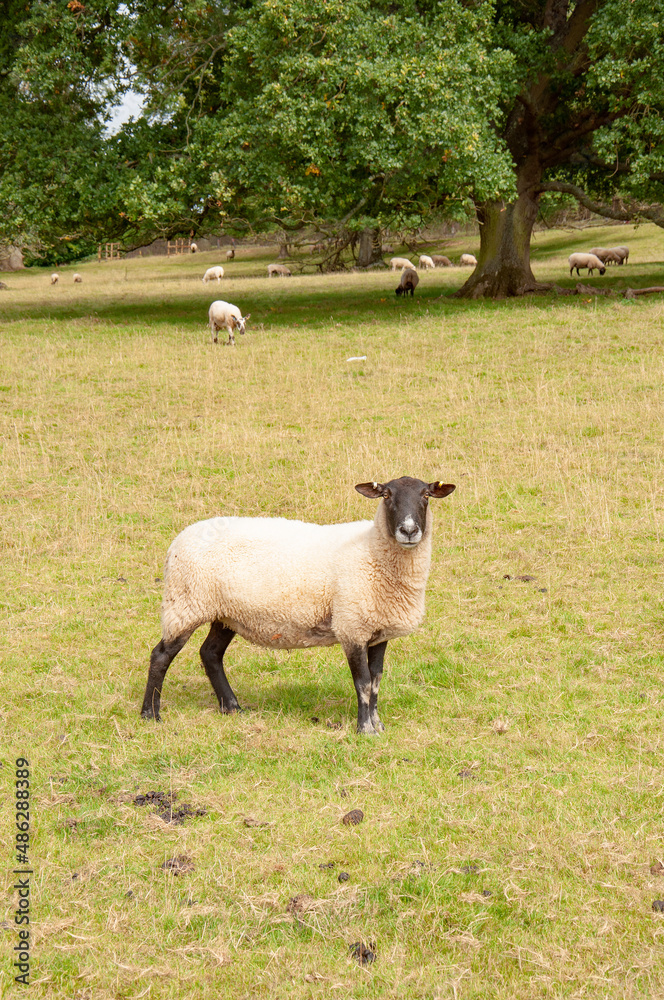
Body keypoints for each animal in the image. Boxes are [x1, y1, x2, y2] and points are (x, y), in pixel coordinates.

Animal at [140, 476, 456, 734]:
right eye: (387, 495)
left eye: (426, 495)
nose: (408, 530)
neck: (372, 550)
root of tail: (179, 539)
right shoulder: (351, 626)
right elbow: (363, 683)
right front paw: (364, 730)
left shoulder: (377, 629)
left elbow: (376, 682)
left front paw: (378, 725)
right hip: (185, 603)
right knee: (161, 656)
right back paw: (150, 715)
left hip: (225, 612)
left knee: (210, 654)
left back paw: (232, 707)